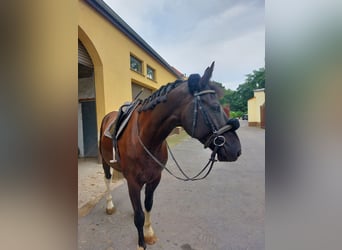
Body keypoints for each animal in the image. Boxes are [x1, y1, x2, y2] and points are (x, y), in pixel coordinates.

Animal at [98, 61, 240, 249]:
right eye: (216, 107)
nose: (236, 149)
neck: (146, 139)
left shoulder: (154, 178)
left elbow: (148, 206)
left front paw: (149, 233)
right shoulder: (133, 182)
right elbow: (139, 216)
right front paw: (141, 243)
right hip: (105, 162)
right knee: (107, 180)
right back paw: (109, 205)